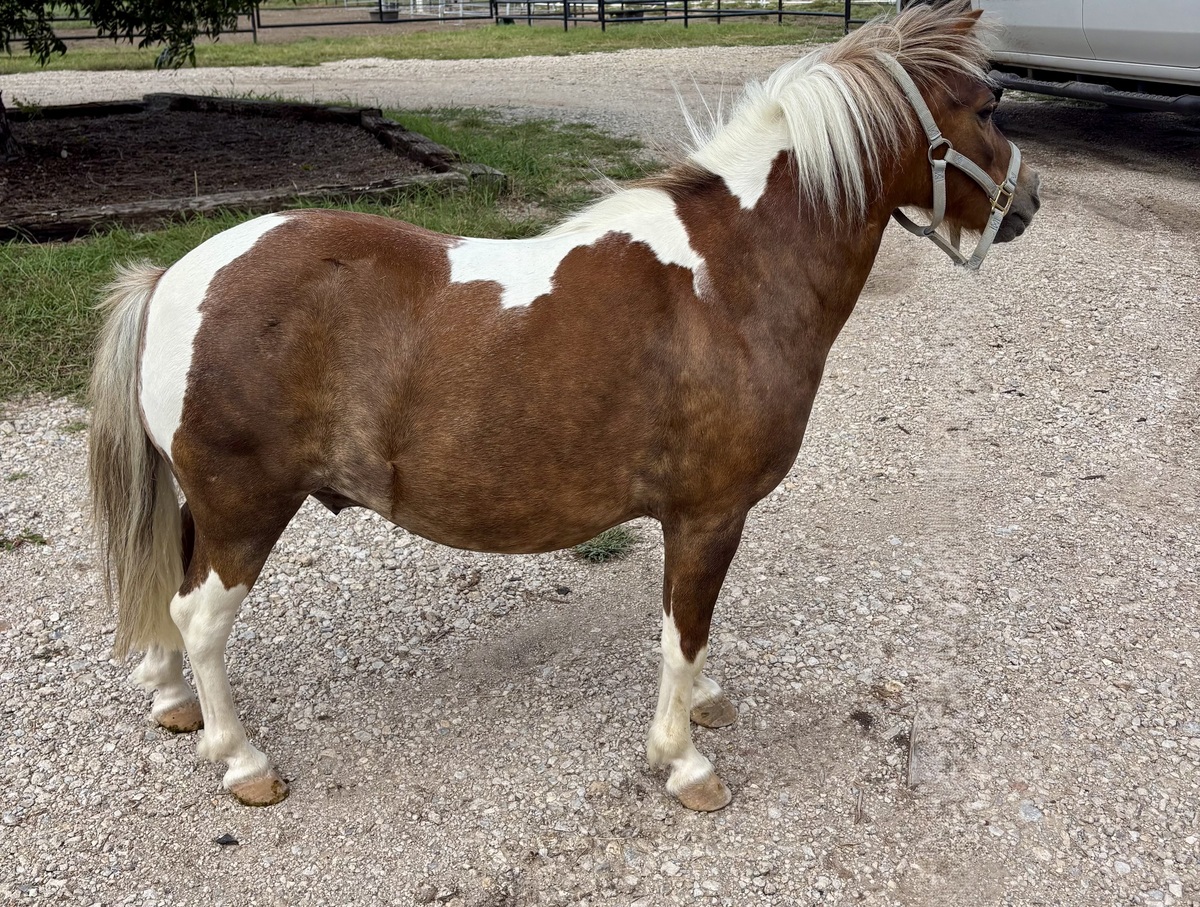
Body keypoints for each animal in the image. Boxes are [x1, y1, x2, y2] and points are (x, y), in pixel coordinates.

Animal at [88, 0, 1040, 812]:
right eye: (990, 105)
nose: (1027, 201)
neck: (733, 279)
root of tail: (173, 276)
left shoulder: (699, 519)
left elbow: (689, 630)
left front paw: (706, 700)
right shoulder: (709, 515)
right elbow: (683, 630)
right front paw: (683, 758)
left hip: (203, 505)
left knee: (169, 591)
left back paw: (172, 700)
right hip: (245, 509)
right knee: (199, 618)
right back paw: (241, 758)